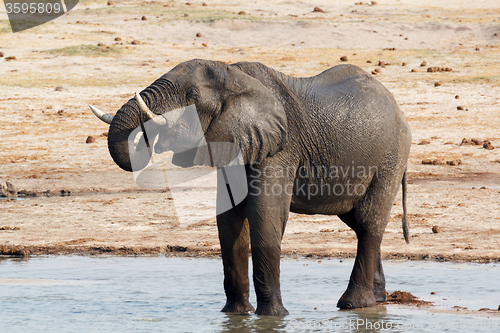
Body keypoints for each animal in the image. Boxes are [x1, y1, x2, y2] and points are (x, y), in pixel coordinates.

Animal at [89, 58, 410, 316]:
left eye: (192, 96)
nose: (151, 136)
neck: (236, 77)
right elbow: (229, 219)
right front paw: (235, 315)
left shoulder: (280, 149)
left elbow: (265, 215)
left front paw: (273, 317)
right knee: (358, 223)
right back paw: (377, 300)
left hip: (390, 158)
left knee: (368, 222)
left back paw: (352, 305)